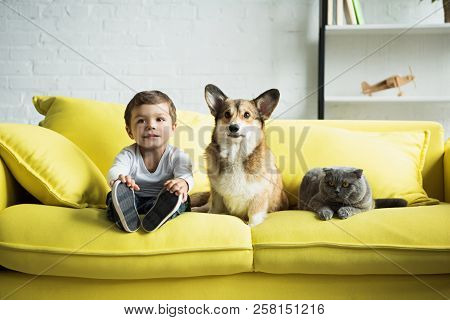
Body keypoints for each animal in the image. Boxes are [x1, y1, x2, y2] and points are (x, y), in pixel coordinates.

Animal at [192, 84, 290, 226]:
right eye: (227, 114)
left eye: (247, 115)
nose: (233, 127)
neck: (236, 154)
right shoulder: (217, 196)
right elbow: (213, 211)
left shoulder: (259, 196)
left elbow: (253, 217)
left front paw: (251, 226)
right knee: (205, 205)